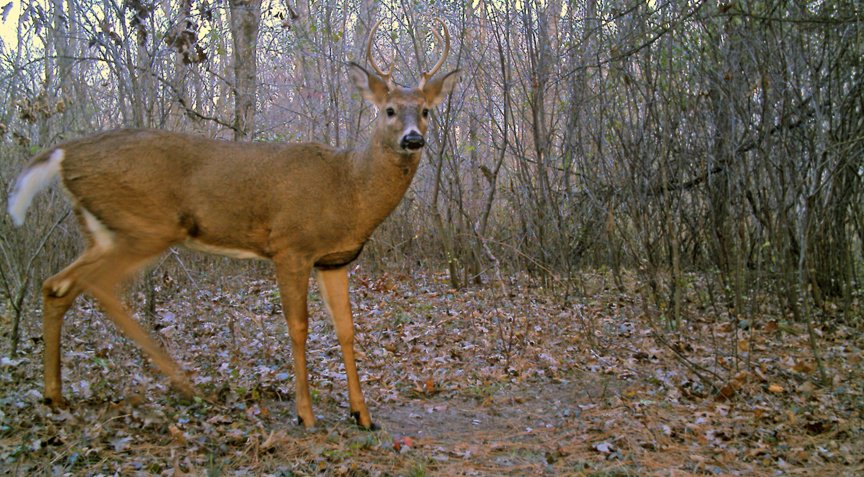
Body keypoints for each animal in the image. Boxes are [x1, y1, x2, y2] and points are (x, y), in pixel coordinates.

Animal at [5, 18, 460, 430]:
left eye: (424, 110)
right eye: (389, 110)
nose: (413, 139)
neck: (347, 188)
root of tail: (64, 153)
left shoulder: (334, 260)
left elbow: (347, 329)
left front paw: (362, 415)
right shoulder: (290, 246)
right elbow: (298, 326)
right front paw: (306, 414)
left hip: (103, 231)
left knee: (57, 285)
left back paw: (55, 394)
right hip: (145, 226)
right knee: (98, 287)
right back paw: (184, 386)